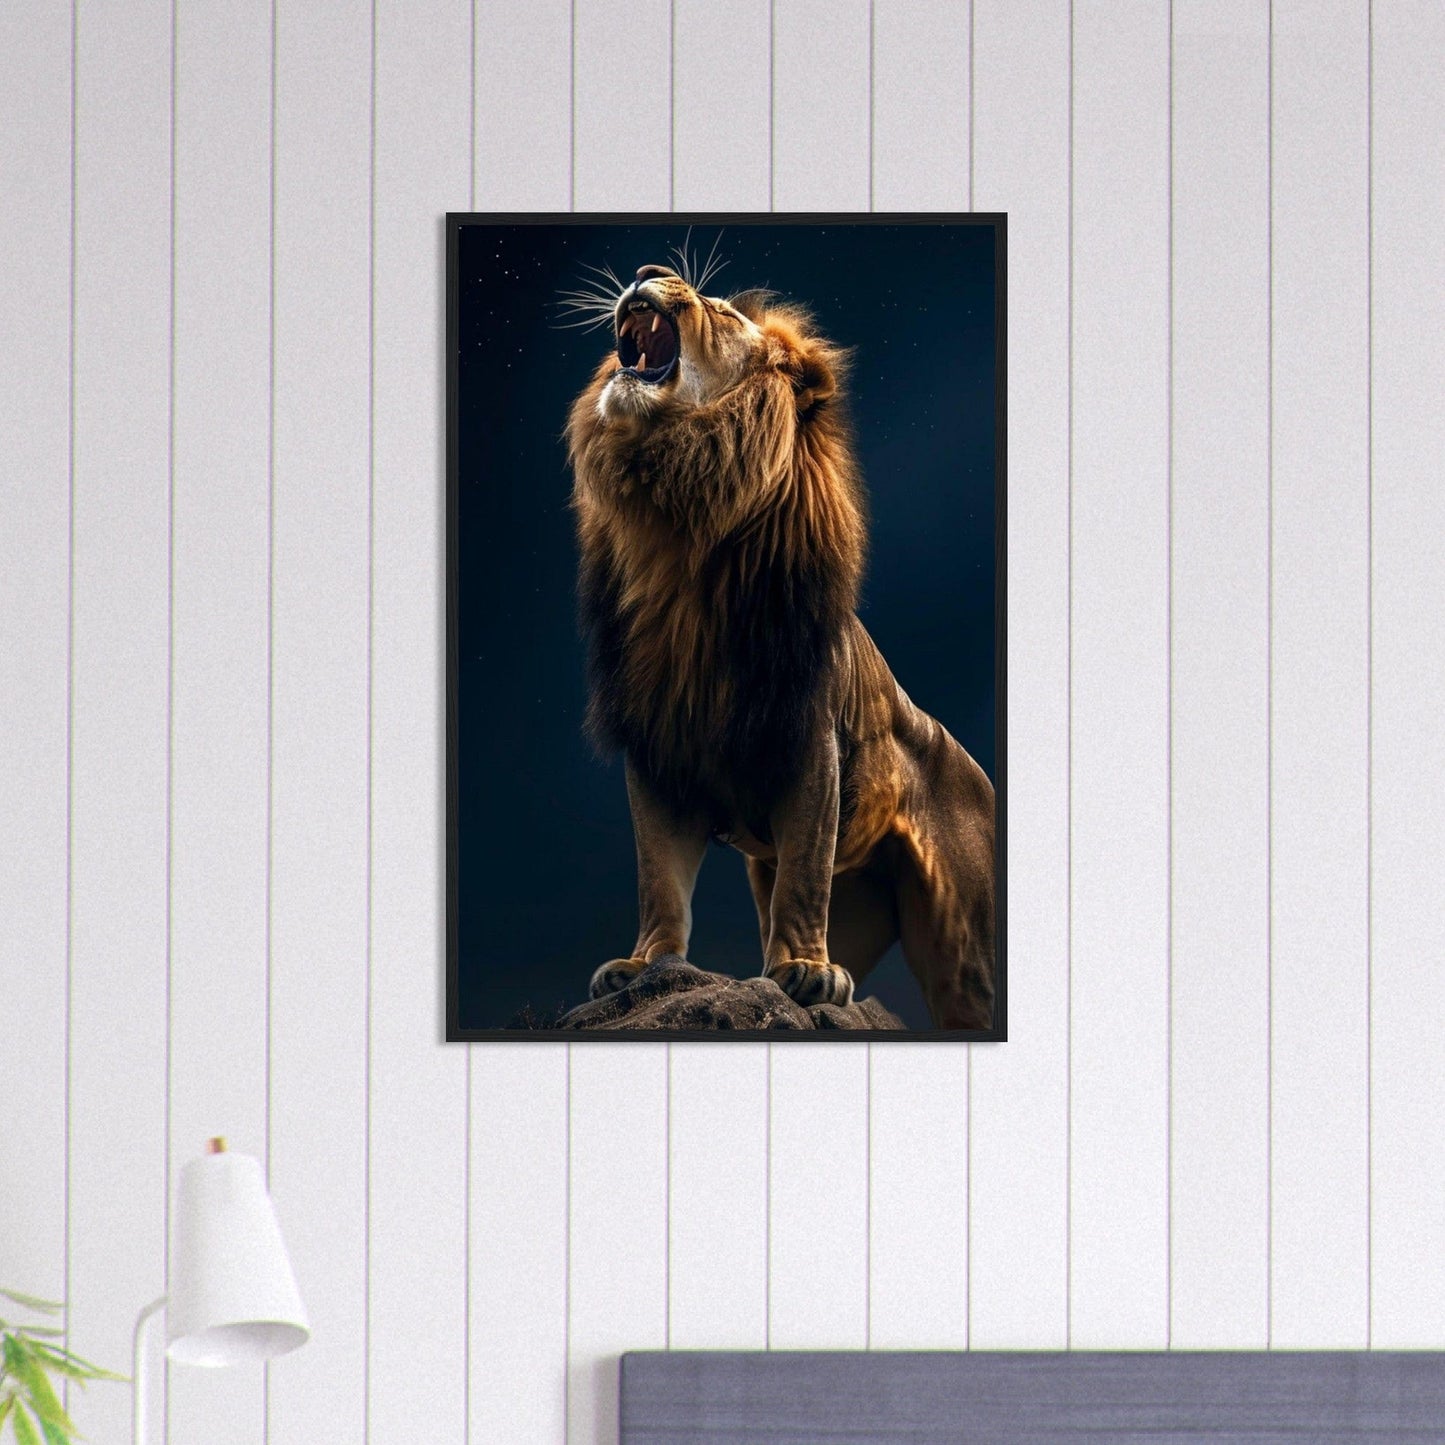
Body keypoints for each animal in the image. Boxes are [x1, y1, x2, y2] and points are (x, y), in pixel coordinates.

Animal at [565, 260, 995, 1030]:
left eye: (722, 313)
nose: (647, 271)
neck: (676, 530)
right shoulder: (656, 745)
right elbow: (658, 876)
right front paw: (644, 966)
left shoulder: (808, 740)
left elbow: (802, 872)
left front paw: (804, 972)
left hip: (968, 954)